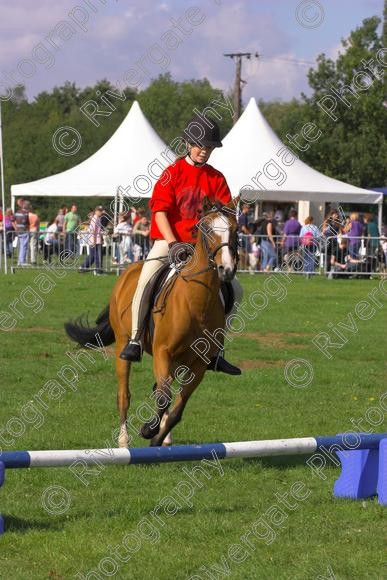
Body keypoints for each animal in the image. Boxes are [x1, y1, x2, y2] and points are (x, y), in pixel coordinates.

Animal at [65, 197, 241, 446]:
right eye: (207, 229)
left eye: (235, 230)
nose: (227, 269)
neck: (196, 301)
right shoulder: (162, 352)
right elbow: (164, 397)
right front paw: (148, 429)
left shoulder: (199, 363)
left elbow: (177, 409)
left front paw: (157, 439)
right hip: (124, 344)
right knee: (124, 394)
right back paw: (123, 439)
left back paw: (164, 439)